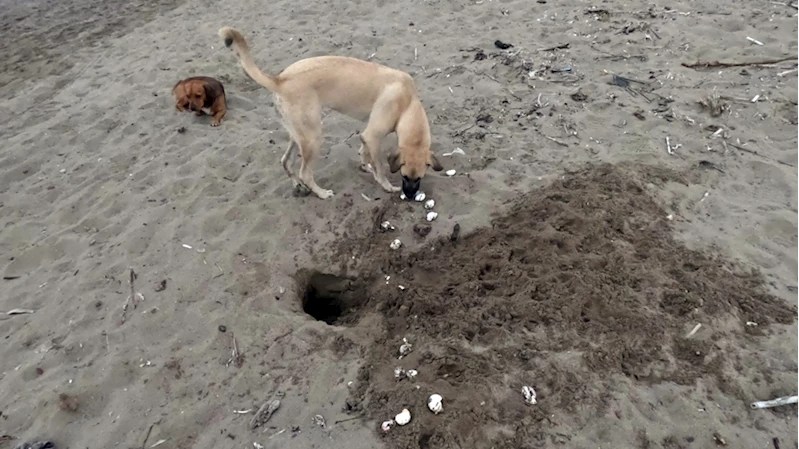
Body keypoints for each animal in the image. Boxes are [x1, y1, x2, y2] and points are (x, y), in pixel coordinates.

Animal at [218, 26, 443, 199]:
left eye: (419, 178)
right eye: (404, 177)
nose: (411, 196)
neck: (408, 102)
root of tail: (280, 80)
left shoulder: (367, 136)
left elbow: (364, 151)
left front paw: (365, 164)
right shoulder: (373, 135)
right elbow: (379, 167)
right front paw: (386, 185)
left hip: (298, 135)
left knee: (286, 162)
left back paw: (298, 186)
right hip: (313, 138)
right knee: (305, 173)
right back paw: (321, 193)